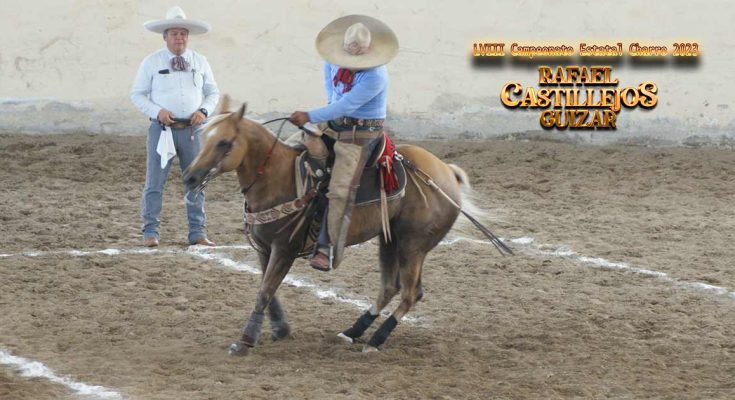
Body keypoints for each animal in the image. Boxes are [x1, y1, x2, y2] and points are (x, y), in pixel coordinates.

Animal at [184, 97, 506, 354]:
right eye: (204, 137)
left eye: (224, 142)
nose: (189, 177)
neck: (278, 177)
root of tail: (446, 173)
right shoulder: (265, 248)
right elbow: (268, 289)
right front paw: (279, 329)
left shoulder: (284, 249)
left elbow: (264, 290)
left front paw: (245, 340)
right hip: (390, 239)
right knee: (390, 287)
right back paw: (353, 331)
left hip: (413, 244)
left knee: (410, 293)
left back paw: (375, 341)